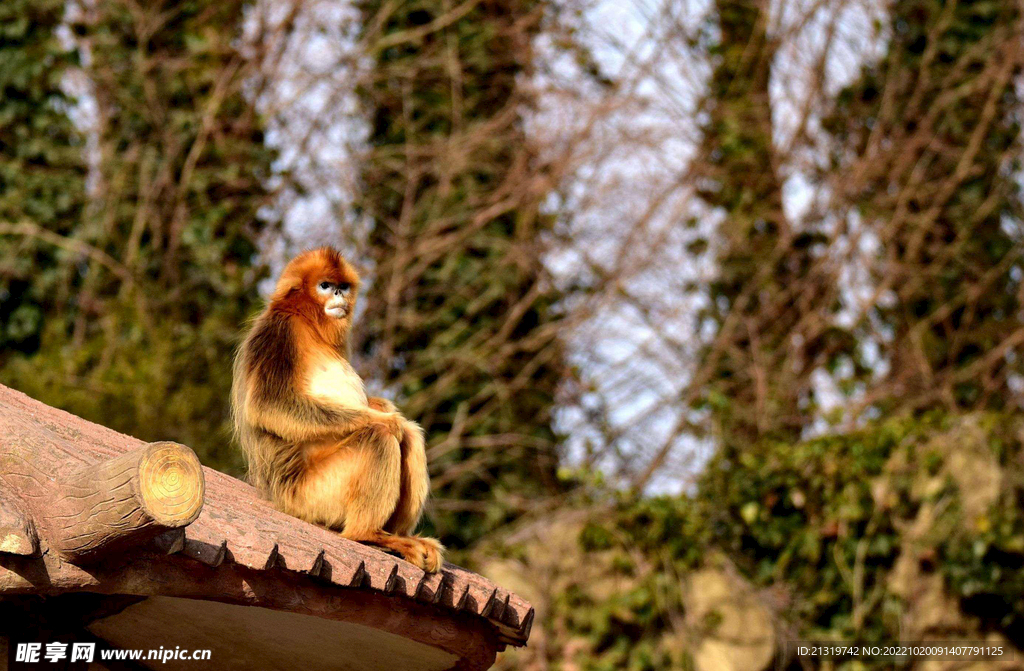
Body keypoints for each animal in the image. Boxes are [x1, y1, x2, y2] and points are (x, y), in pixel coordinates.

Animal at [232, 246, 444, 573]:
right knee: (379, 436)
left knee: (411, 434)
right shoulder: (279, 332)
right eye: (325, 286)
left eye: (342, 287)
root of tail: (279, 498)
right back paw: (367, 534)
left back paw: (398, 536)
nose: (338, 295)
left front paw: (384, 406)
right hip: (311, 496)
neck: (306, 321)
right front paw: (386, 418)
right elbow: (269, 406)